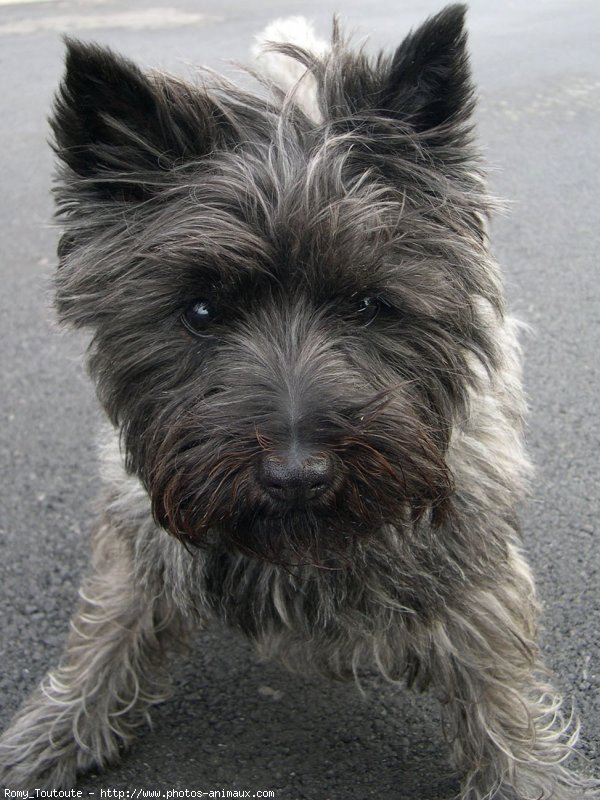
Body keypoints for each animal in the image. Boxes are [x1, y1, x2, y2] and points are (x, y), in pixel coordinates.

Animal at [0, 6, 596, 800]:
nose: (296, 475)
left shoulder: (475, 582)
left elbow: (501, 706)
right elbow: (105, 636)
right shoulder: (141, 540)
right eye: (199, 311)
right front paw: (52, 736)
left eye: (369, 304)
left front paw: (528, 777)